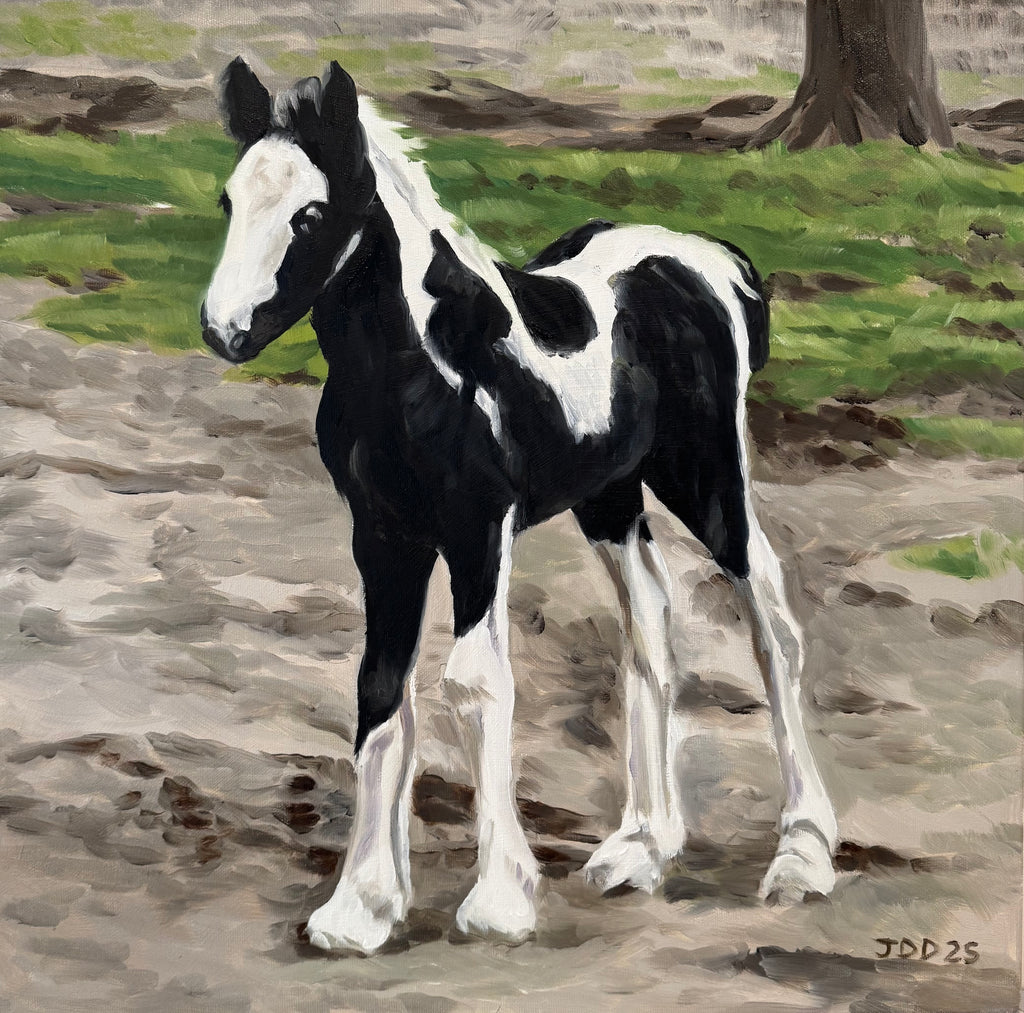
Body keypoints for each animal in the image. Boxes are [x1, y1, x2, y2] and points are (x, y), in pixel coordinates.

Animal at [200, 58, 838, 954]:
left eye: (311, 213)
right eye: (230, 201)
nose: (223, 331)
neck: (424, 364)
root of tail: (717, 263)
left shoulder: (477, 532)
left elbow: (475, 683)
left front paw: (499, 900)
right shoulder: (384, 537)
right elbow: (379, 689)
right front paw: (360, 907)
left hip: (706, 476)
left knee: (772, 617)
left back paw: (804, 854)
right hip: (609, 495)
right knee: (649, 618)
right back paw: (642, 845)